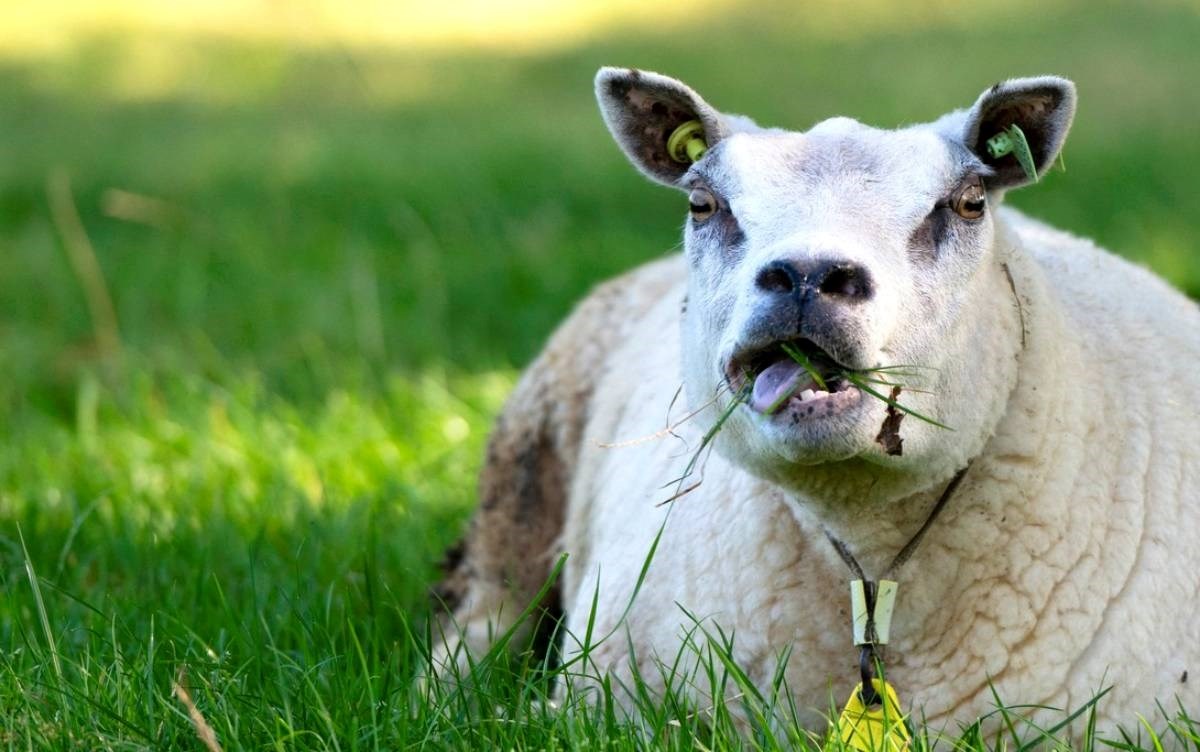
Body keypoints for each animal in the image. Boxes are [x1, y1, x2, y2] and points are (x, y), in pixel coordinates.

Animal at [434, 66, 1200, 734]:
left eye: (969, 203)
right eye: (703, 204)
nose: (807, 276)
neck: (866, 546)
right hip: (525, 471)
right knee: (480, 618)